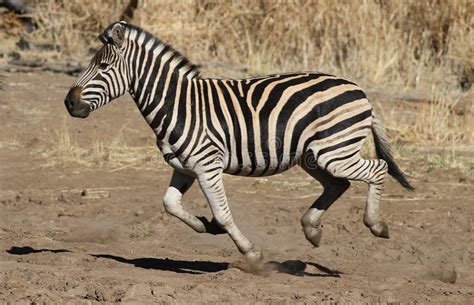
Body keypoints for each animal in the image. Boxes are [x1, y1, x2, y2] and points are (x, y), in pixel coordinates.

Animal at [65, 22, 412, 266]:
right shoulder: (184, 167)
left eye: (104, 67)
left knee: (377, 169)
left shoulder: (207, 166)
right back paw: (312, 229)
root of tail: (359, 90)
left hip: (334, 151)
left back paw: (377, 225)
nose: (69, 103)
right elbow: (170, 204)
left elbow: (222, 213)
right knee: (339, 184)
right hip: (313, 156)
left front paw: (250, 252)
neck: (178, 105)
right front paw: (205, 227)